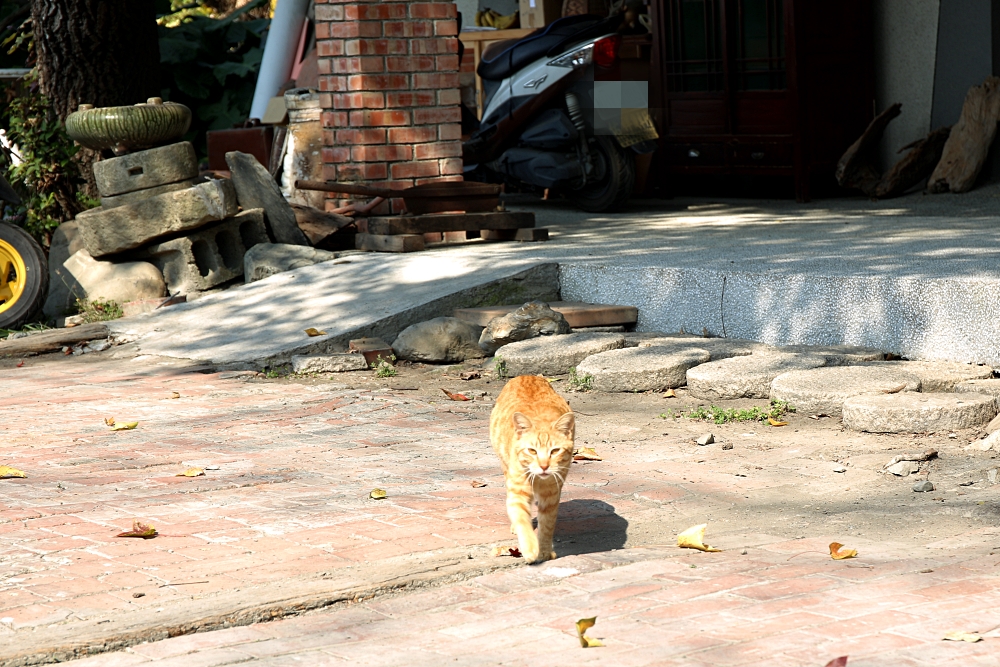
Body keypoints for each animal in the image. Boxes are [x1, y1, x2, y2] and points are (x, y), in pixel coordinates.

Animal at [488, 376, 576, 564]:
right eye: (532, 451)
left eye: (555, 451)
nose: (544, 466)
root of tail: (528, 375)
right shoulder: (517, 492)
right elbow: (522, 520)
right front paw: (530, 549)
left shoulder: (551, 496)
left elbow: (547, 526)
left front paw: (544, 552)